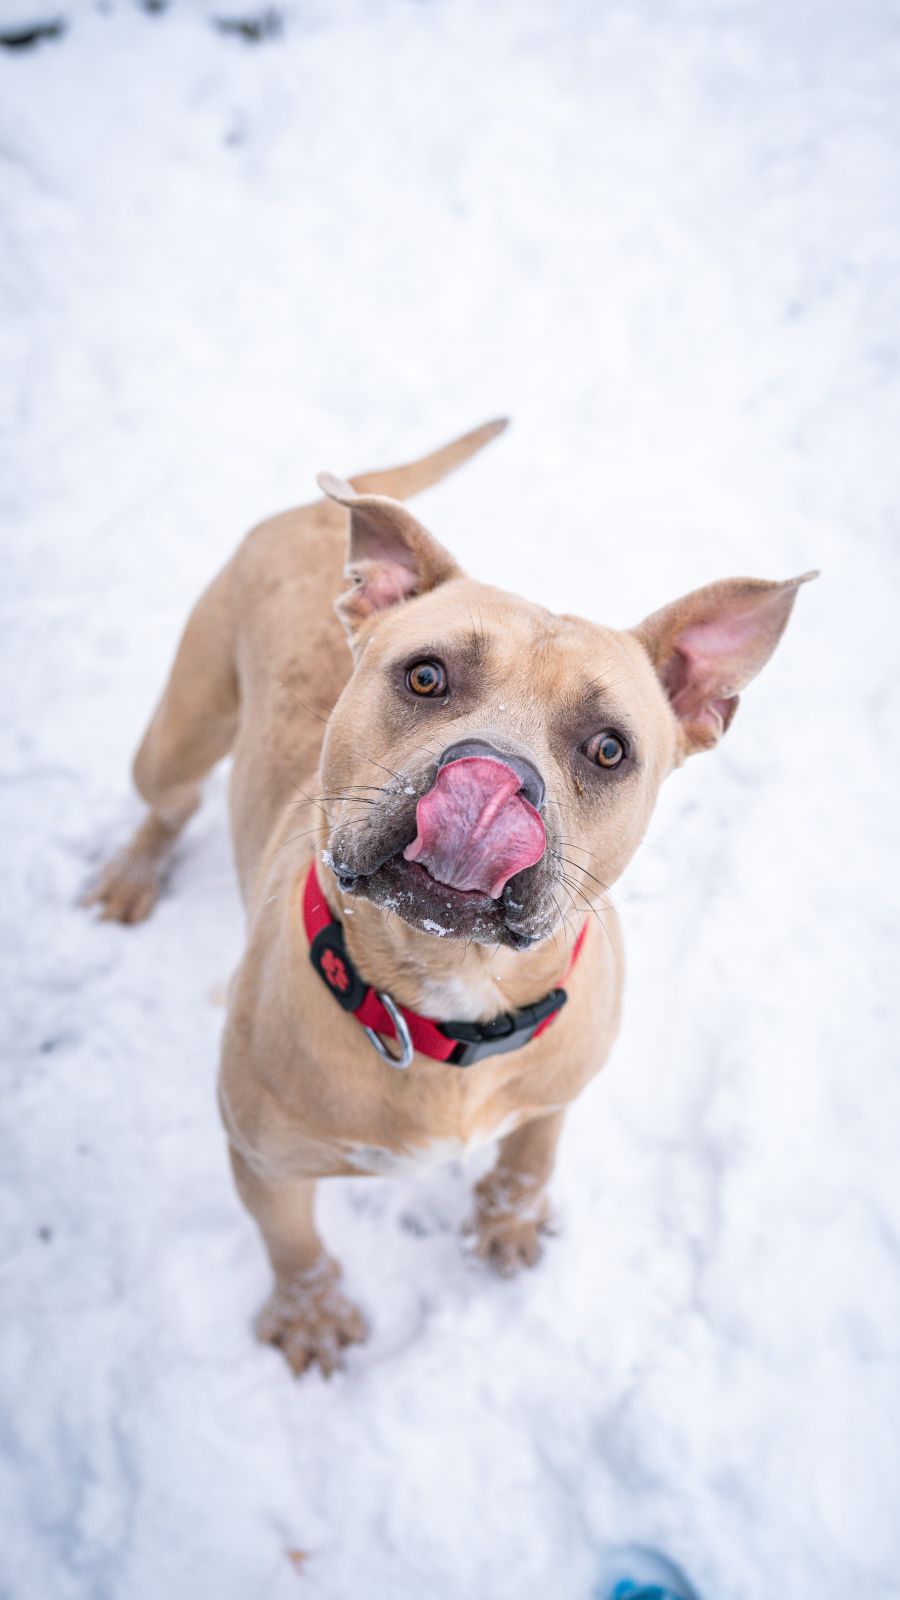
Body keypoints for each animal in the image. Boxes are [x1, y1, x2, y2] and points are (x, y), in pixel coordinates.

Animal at [87, 419, 815, 1376]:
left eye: (609, 749)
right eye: (426, 677)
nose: (491, 774)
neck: (447, 987)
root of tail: (332, 506)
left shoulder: (559, 1089)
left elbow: (532, 1155)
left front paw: (508, 1224)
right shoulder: (265, 1164)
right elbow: (294, 1245)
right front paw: (310, 1315)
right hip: (180, 731)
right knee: (167, 804)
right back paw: (132, 875)